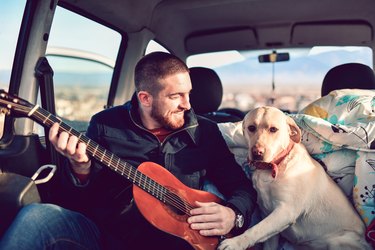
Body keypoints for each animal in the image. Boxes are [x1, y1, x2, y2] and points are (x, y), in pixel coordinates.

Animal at [219, 107, 372, 250]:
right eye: (251, 128)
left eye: (273, 129)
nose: (257, 153)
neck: (273, 166)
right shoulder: (268, 216)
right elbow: (264, 235)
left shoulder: (286, 211)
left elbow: (257, 229)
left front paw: (235, 243)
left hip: (337, 242)